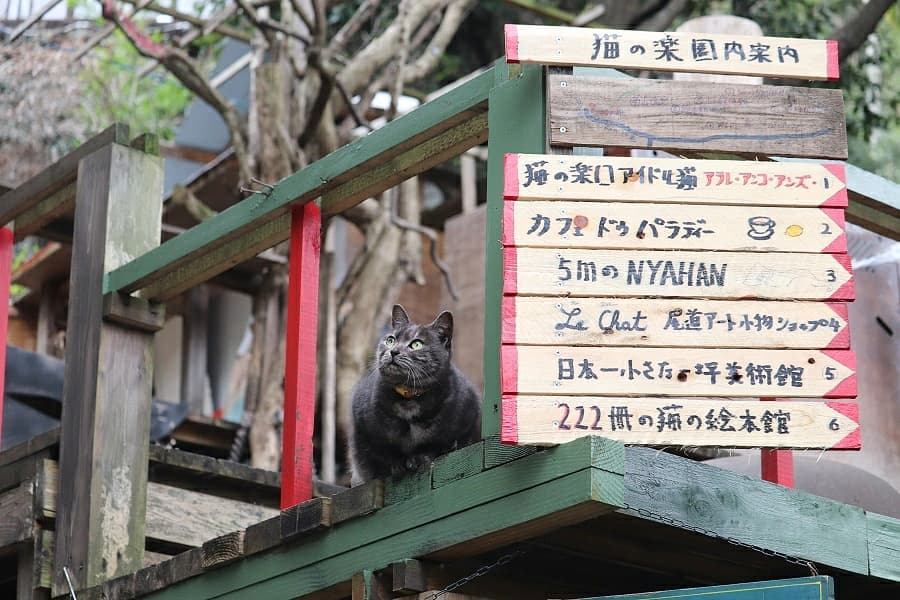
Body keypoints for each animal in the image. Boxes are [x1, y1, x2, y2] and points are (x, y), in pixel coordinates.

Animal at [348, 304, 482, 482]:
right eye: (391, 340)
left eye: (416, 344)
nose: (394, 351)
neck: (409, 398)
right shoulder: (363, 429)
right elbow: (381, 452)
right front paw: (397, 464)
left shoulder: (470, 414)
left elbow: (438, 444)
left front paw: (419, 458)